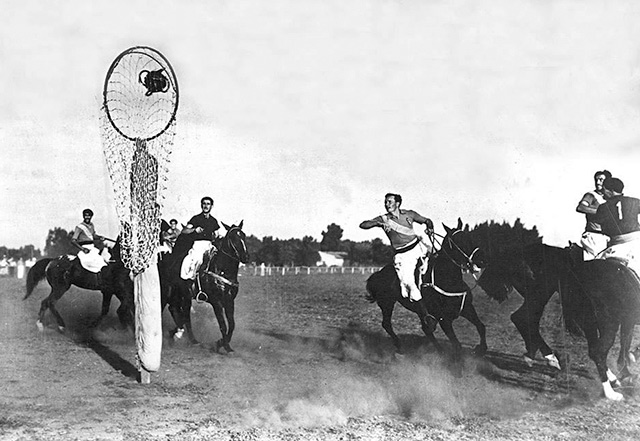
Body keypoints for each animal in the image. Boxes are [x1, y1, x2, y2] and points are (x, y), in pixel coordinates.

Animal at [160, 220, 250, 350]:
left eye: (243, 235)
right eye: (233, 238)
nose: (246, 257)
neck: (222, 270)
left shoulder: (229, 301)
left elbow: (232, 324)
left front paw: (223, 343)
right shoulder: (217, 302)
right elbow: (223, 325)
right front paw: (222, 344)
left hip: (182, 295)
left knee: (180, 313)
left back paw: (187, 338)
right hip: (167, 292)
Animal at [368, 217, 488, 368]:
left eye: (470, 237)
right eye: (459, 240)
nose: (482, 260)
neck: (448, 281)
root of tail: (380, 272)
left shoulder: (467, 309)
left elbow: (481, 327)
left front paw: (481, 349)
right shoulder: (444, 320)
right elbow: (457, 345)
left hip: (417, 311)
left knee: (427, 329)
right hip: (387, 303)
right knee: (387, 324)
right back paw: (400, 347)